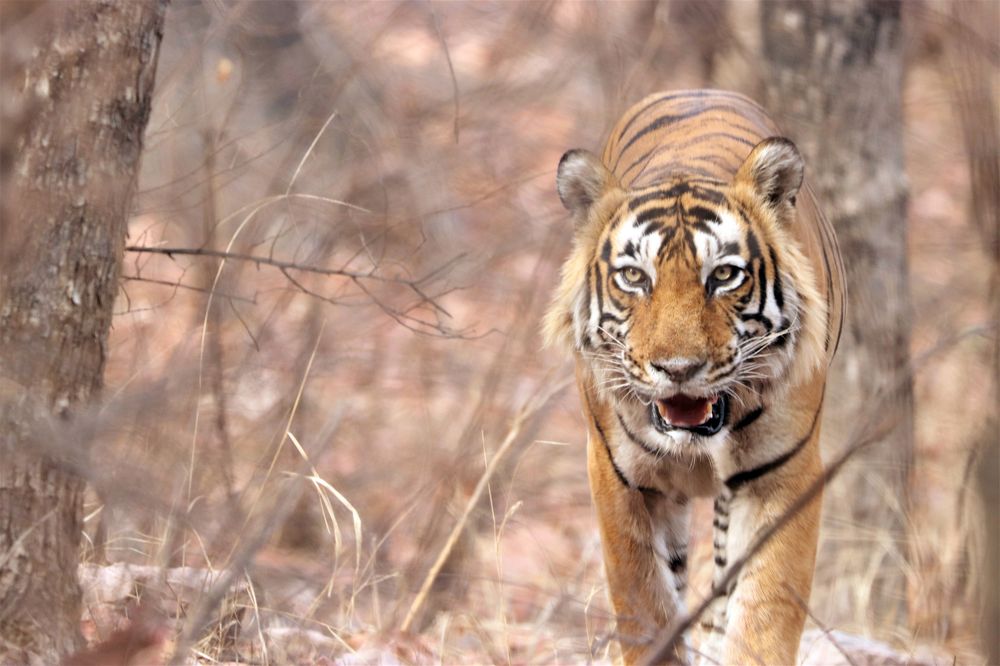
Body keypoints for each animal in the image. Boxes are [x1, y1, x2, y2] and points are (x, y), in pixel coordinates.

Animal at [543, 90, 845, 665]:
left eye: (723, 275)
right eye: (633, 277)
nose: (678, 370)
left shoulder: (783, 475)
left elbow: (765, 615)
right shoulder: (620, 477)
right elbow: (645, 606)